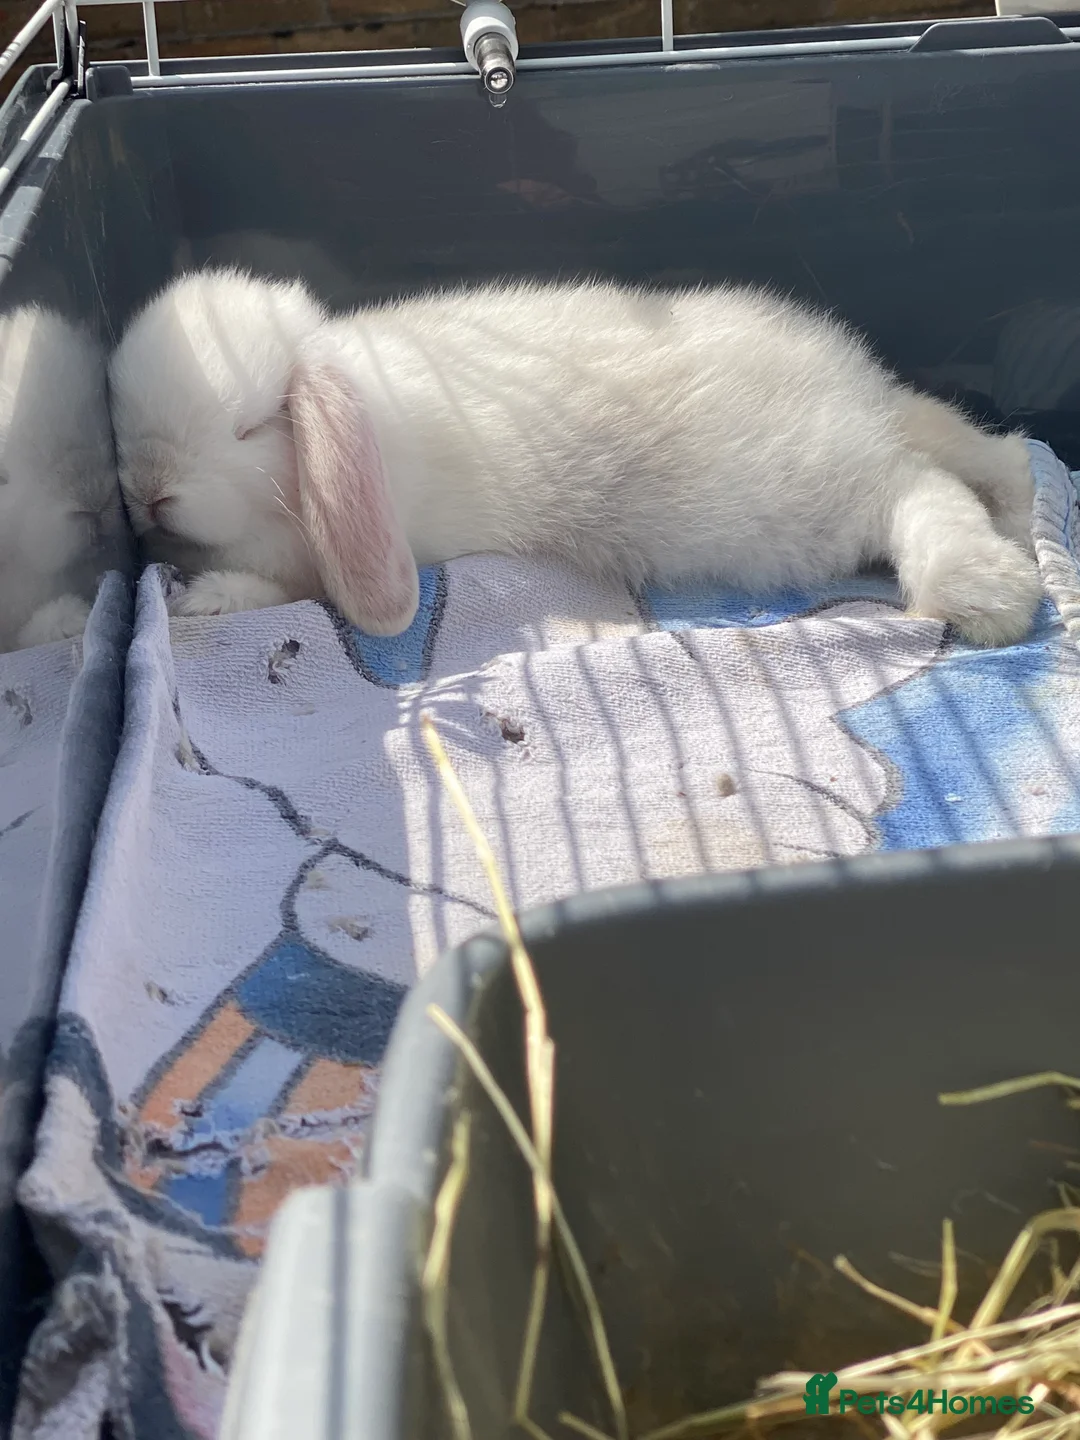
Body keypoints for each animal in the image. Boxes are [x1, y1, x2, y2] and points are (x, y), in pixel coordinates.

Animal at [109, 266, 1043, 647]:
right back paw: (1021, 490)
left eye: (250, 426)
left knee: (916, 487)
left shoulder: (329, 556)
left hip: (791, 502)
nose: (150, 489)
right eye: (121, 423)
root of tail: (855, 394)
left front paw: (206, 600)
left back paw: (985, 591)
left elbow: (295, 593)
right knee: (955, 450)